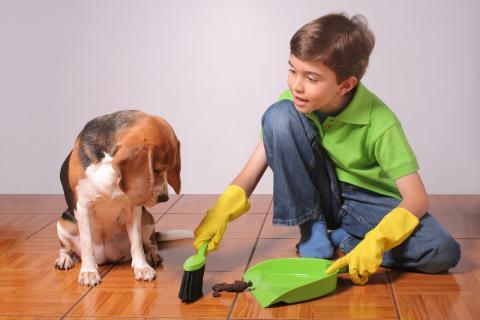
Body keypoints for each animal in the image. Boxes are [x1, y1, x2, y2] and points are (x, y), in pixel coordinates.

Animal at [55, 111, 190, 286]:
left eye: (171, 167)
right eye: (155, 169)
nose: (164, 198)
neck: (109, 164)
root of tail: (107, 257)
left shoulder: (133, 207)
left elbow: (136, 243)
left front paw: (142, 267)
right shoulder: (83, 207)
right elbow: (86, 243)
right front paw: (89, 272)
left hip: (147, 218)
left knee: (150, 243)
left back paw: (151, 255)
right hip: (63, 223)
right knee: (66, 249)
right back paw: (65, 259)